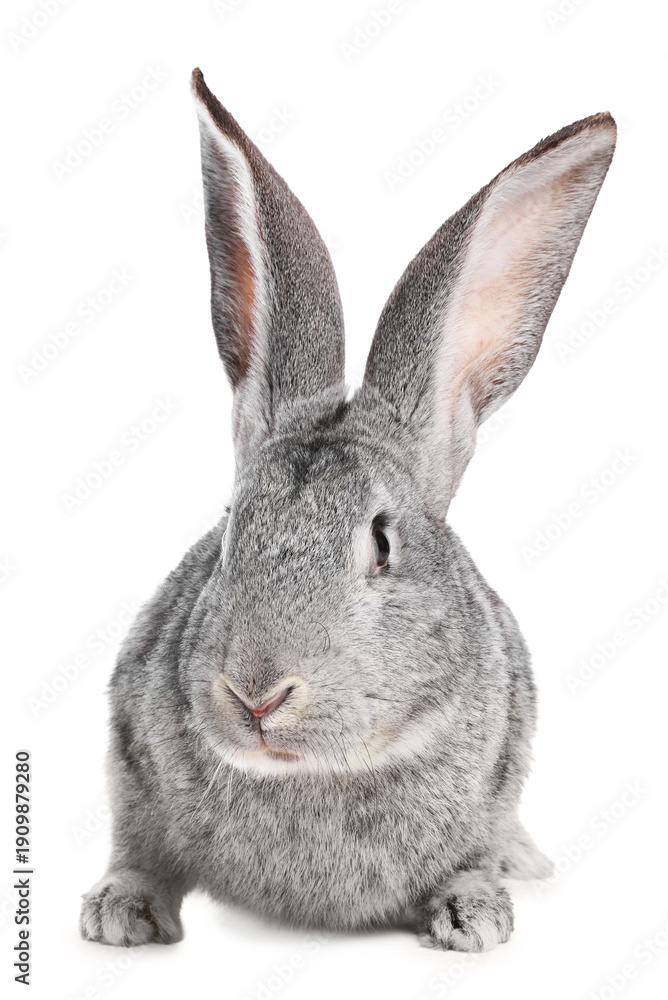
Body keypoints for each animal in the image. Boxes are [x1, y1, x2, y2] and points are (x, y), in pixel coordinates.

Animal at [80, 67, 616, 953]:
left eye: (382, 544)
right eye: (230, 531)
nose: (257, 694)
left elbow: (472, 858)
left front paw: (475, 918)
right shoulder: (128, 763)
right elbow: (138, 845)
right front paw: (120, 913)